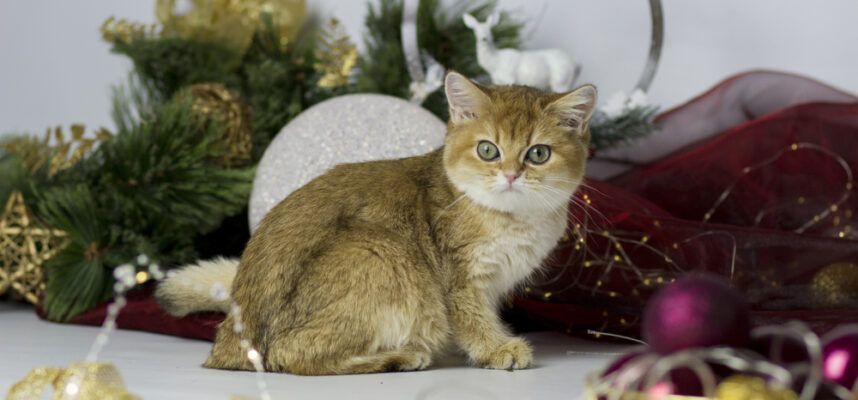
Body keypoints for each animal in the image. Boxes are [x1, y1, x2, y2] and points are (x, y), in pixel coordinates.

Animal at [155, 72, 596, 376]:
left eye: (538, 154)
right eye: (488, 150)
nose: (510, 175)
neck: (513, 218)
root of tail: (228, 340)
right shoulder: (460, 280)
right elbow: (472, 318)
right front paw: (495, 348)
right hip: (381, 250)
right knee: (285, 355)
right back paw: (400, 356)